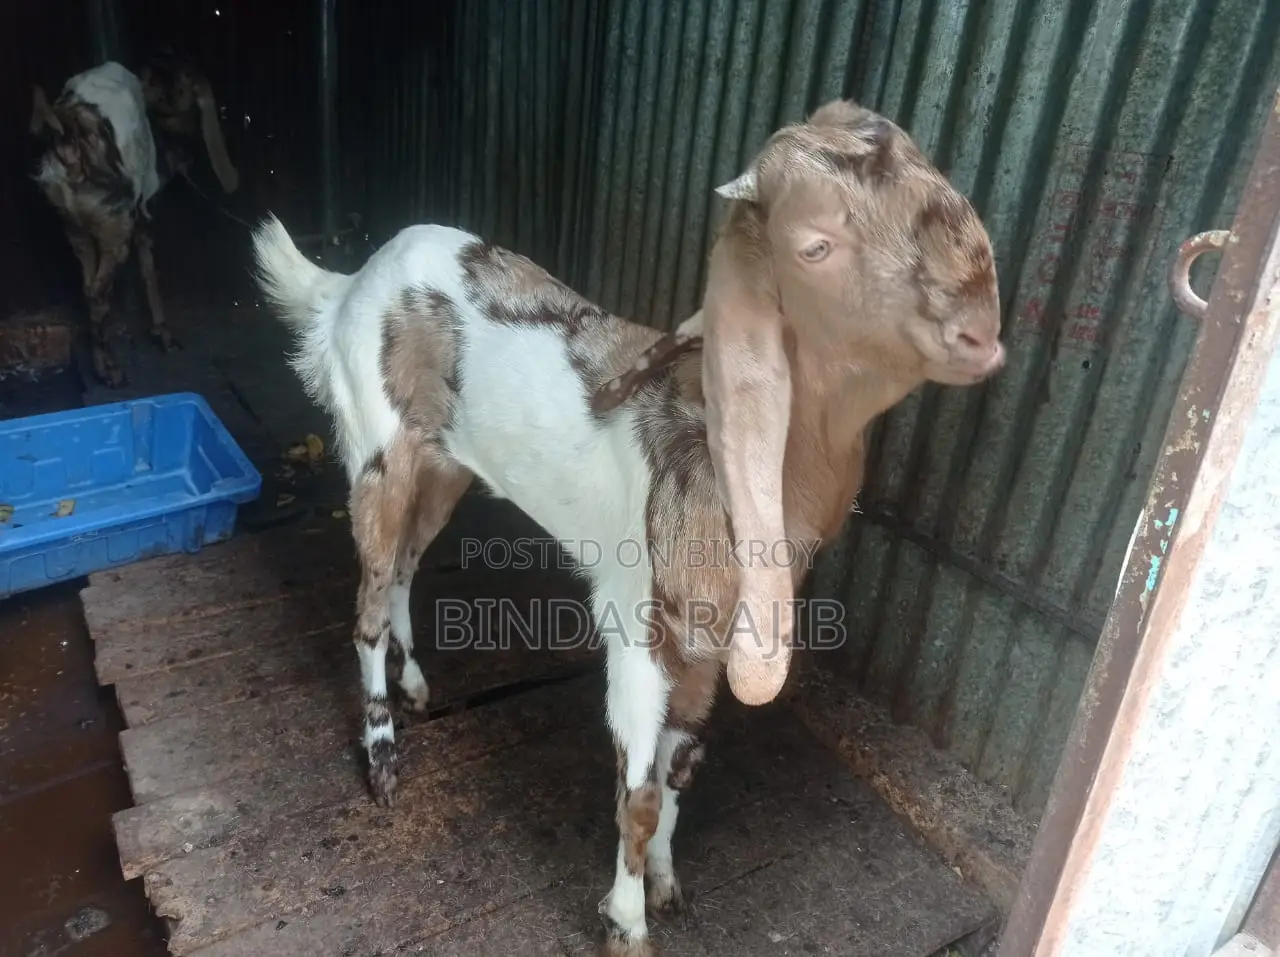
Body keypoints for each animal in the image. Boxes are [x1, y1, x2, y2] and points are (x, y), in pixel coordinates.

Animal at [30, 59, 239, 387]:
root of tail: (69, 135)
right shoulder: (142, 217)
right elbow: (149, 272)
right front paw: (164, 337)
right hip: (115, 230)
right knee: (97, 293)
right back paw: (111, 372)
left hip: (75, 227)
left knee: (88, 289)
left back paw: (103, 365)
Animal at [251, 99, 1004, 957]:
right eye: (815, 244)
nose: (983, 334)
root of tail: (354, 280)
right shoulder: (638, 627)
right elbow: (637, 794)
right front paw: (627, 921)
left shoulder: (713, 639)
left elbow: (682, 768)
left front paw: (668, 883)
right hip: (376, 446)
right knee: (370, 602)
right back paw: (382, 761)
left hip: (442, 460)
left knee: (407, 565)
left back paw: (415, 686)